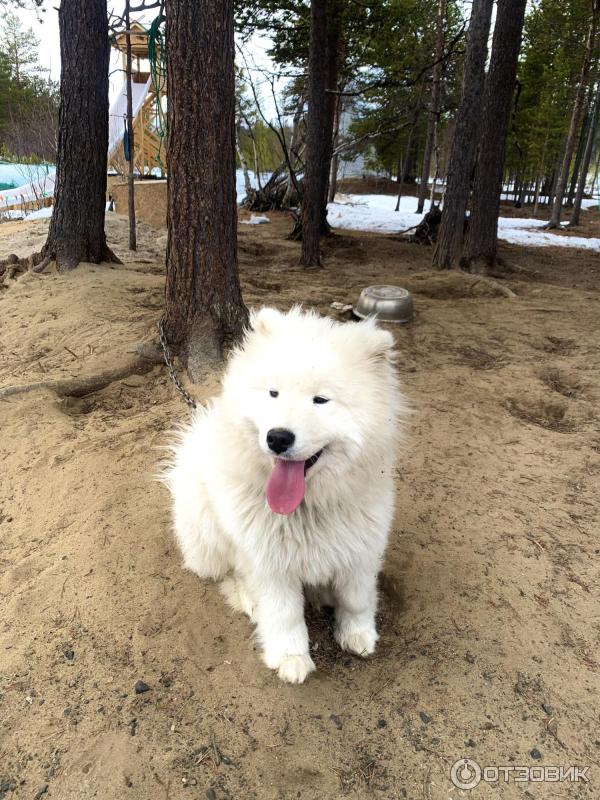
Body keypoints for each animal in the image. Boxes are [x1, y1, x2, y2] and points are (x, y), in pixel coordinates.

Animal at [165, 310, 404, 684]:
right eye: (273, 393)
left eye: (321, 400)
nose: (278, 437)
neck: (307, 508)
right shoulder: (269, 562)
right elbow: (284, 615)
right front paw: (291, 659)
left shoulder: (361, 546)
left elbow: (357, 599)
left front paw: (358, 634)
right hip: (208, 527)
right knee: (226, 571)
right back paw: (247, 598)